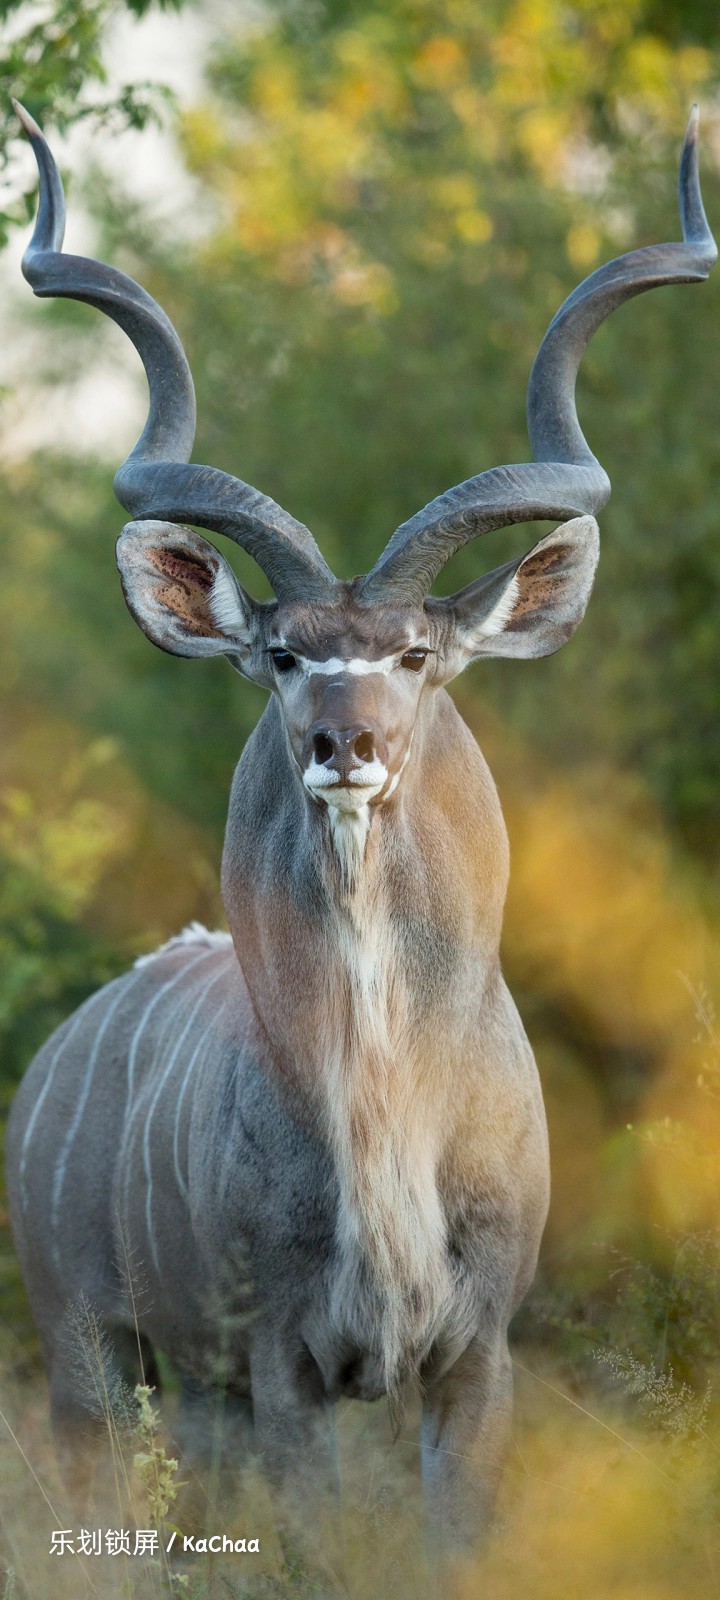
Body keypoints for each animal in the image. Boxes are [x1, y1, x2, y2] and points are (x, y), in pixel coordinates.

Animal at [6, 103, 716, 1581]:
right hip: (94, 1360)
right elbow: (314, 1547)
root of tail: (54, 1058)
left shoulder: (475, 1357)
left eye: (417, 654)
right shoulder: (286, 1360)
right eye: (282, 653)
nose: (346, 742)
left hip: (189, 1388)